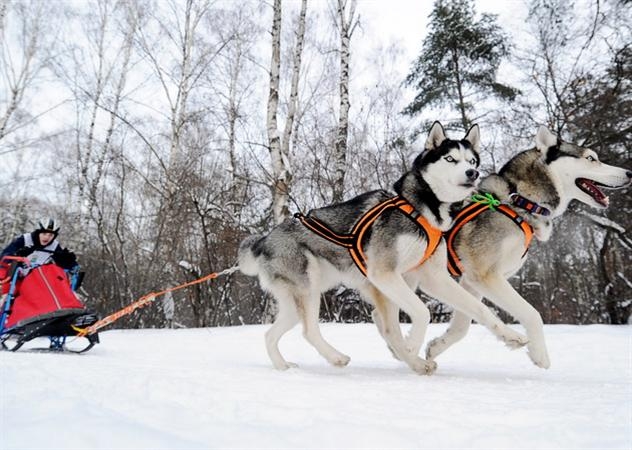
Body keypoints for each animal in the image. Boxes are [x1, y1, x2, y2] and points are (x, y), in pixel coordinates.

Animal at [239, 121, 524, 374]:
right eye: (450, 159)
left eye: (472, 161)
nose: (472, 174)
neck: (422, 210)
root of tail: (264, 239)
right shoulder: (384, 274)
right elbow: (421, 313)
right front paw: (410, 347)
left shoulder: (433, 278)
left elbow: (480, 309)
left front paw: (511, 336)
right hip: (309, 289)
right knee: (310, 331)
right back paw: (338, 358)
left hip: (297, 301)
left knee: (270, 335)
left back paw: (283, 366)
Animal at [398, 124, 628, 370]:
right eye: (591, 158)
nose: (629, 174)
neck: (519, 202)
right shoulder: (486, 276)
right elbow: (532, 313)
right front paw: (539, 354)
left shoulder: (471, 281)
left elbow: (463, 325)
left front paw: (436, 347)